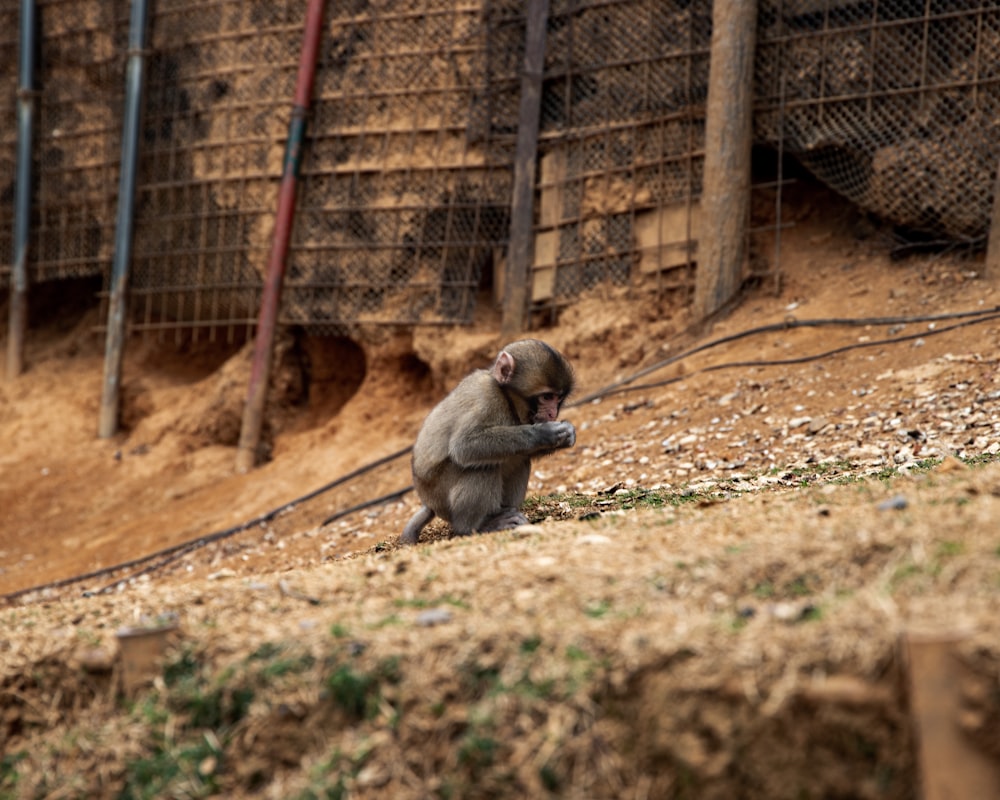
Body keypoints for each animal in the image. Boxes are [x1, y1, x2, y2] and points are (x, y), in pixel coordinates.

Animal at [398, 338, 576, 544]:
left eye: (558, 398)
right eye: (547, 397)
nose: (552, 413)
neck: (506, 398)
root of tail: (429, 503)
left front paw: (567, 434)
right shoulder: (488, 398)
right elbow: (464, 446)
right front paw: (544, 433)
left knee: (519, 460)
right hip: (441, 494)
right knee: (482, 466)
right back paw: (475, 527)